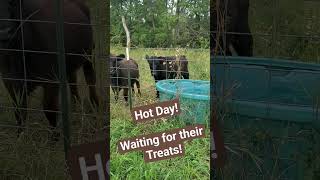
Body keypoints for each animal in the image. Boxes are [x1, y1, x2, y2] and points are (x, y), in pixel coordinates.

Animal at [0, 0, 99, 141]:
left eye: (13, 3)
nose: (4, 32)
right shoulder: (10, 81)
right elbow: (19, 110)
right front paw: (20, 135)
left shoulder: (51, 79)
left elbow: (49, 109)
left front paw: (54, 137)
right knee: (73, 82)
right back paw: (75, 106)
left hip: (88, 54)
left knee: (90, 78)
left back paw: (95, 104)